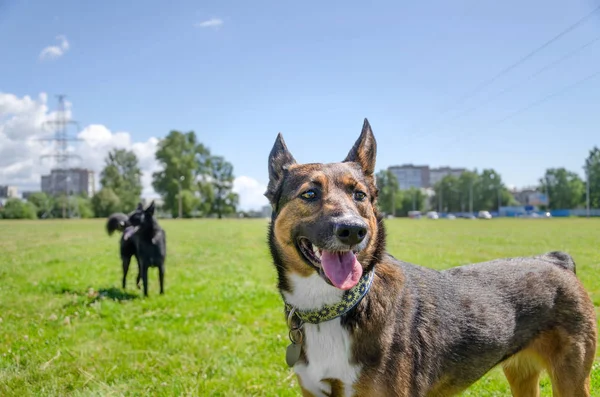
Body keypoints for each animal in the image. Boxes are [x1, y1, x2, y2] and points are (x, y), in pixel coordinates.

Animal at [264, 117, 596, 396]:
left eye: (359, 195)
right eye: (309, 194)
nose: (353, 230)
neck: (336, 307)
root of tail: (554, 260)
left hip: (571, 379)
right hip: (522, 374)